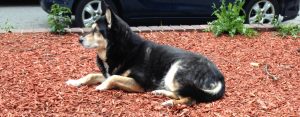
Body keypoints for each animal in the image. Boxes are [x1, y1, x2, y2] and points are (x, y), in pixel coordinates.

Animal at [65, 2, 225, 106]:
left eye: (96, 31)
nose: (79, 40)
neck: (121, 49)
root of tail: (219, 77)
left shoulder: (139, 83)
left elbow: (113, 78)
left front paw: (102, 86)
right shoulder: (108, 73)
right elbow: (92, 75)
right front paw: (75, 81)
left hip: (175, 70)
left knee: (191, 98)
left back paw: (169, 102)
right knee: (182, 93)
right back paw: (161, 93)